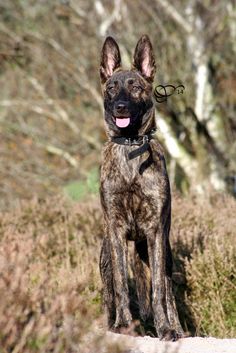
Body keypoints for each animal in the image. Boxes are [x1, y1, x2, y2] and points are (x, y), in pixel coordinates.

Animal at [98, 35, 183, 338]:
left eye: (135, 87)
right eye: (112, 87)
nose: (120, 107)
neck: (131, 145)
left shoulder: (155, 231)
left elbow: (158, 289)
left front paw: (165, 329)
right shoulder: (116, 230)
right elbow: (122, 285)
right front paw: (123, 325)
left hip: (162, 251)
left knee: (167, 291)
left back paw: (175, 327)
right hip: (106, 256)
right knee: (109, 294)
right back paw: (111, 324)